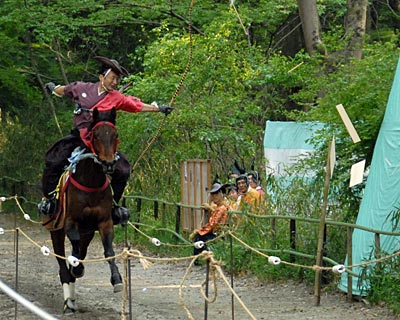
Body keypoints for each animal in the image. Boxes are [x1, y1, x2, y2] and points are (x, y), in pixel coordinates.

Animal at [50, 108, 124, 316]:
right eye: (95, 136)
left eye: (115, 135)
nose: (108, 163)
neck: (91, 181)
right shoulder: (70, 221)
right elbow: (74, 246)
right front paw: (76, 267)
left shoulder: (104, 222)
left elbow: (109, 250)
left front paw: (117, 279)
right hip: (56, 230)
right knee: (62, 263)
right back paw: (68, 301)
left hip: (88, 232)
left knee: (80, 252)